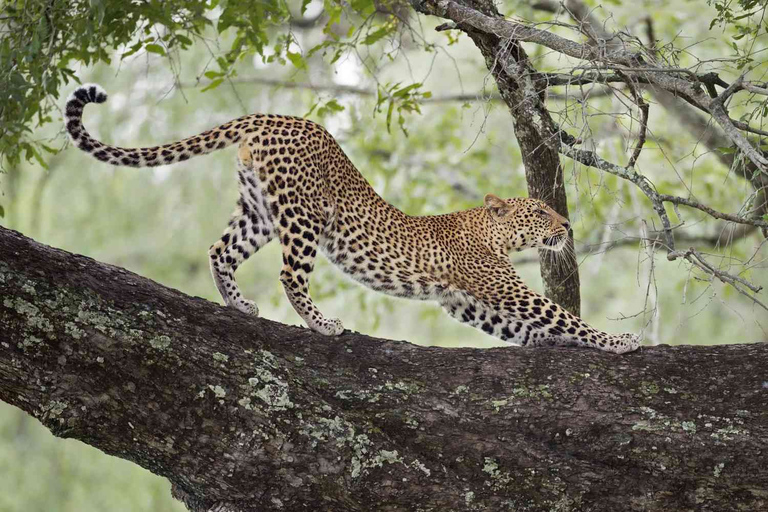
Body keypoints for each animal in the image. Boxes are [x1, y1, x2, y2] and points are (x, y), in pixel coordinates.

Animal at [64, 85, 640, 356]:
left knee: (218, 250)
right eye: (540, 211)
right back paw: (323, 324)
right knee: (289, 275)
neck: (491, 233)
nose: (566, 227)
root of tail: (272, 115)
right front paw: (621, 342)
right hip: (303, 216)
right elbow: (559, 314)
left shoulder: (466, 302)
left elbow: (531, 329)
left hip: (258, 210)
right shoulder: (500, 287)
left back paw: (239, 305)